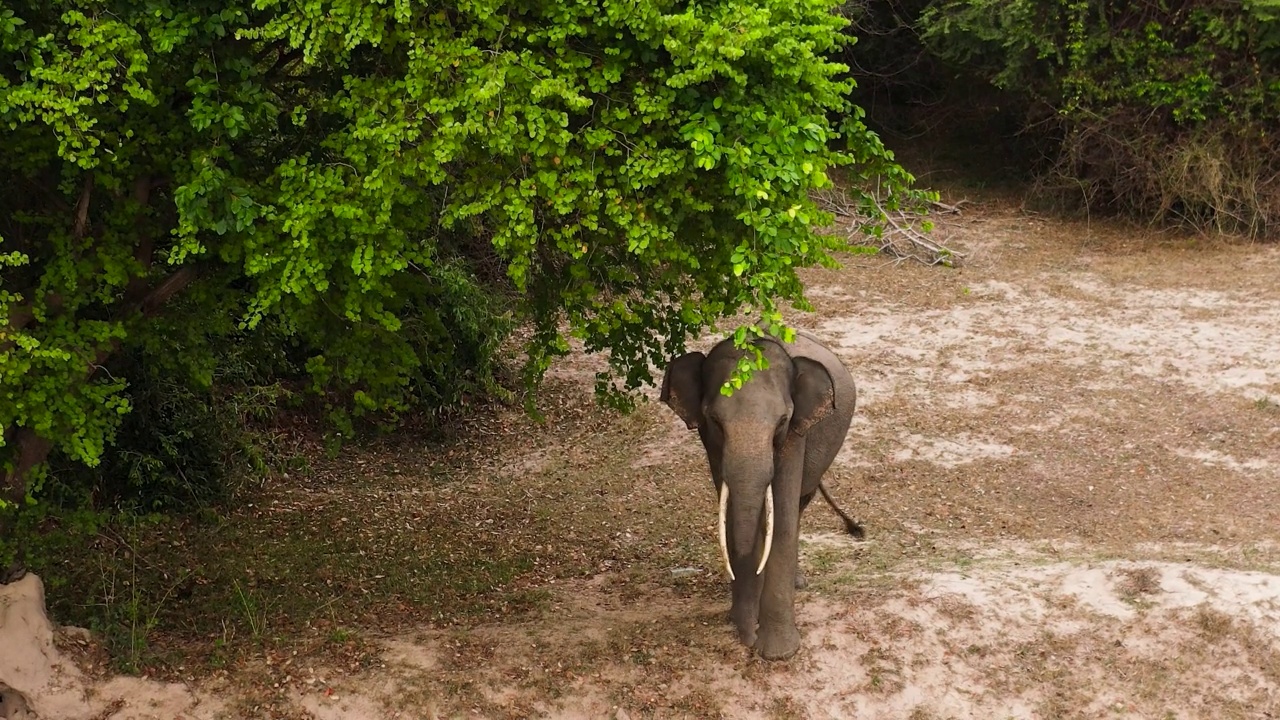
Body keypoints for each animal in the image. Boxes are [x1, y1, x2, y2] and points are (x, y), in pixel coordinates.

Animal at [660, 327, 860, 661]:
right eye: (714, 420)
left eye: (782, 421)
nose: (747, 640)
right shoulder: (711, 444)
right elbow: (731, 514)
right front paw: (744, 623)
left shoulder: (795, 435)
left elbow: (781, 521)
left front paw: (778, 654)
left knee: (799, 505)